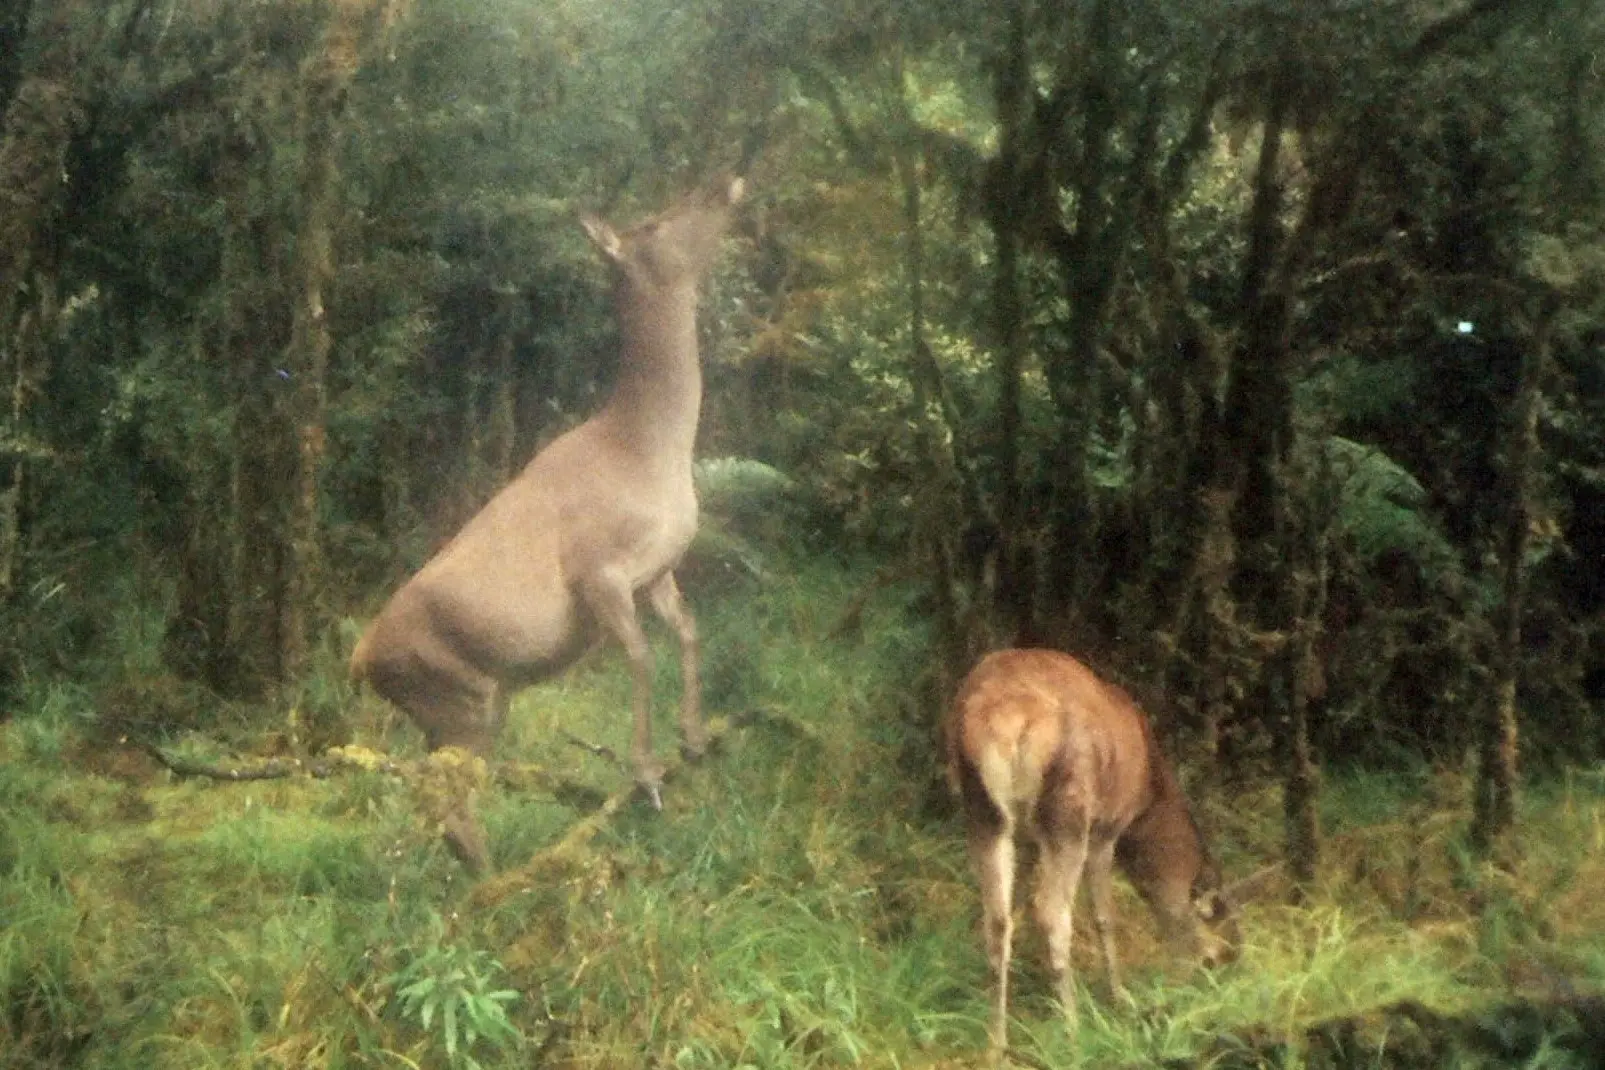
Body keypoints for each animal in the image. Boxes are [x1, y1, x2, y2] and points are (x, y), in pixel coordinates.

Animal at [349, 173, 745, 873]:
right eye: (653, 222)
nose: (725, 180)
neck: (649, 451)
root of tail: (358, 659)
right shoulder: (598, 568)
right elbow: (641, 655)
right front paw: (646, 773)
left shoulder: (658, 568)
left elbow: (688, 633)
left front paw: (694, 738)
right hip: (459, 698)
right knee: (450, 803)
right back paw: (499, 882)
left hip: (461, 707)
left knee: (439, 801)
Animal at [945, 648, 1239, 1053]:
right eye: (1215, 956)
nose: (1217, 990)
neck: (1148, 789)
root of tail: (1011, 718)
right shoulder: (1107, 829)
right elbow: (1105, 917)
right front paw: (1119, 997)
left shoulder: (1028, 840)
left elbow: (1015, 907)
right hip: (1069, 811)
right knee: (1052, 911)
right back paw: (1072, 1027)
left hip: (983, 810)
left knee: (997, 918)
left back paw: (996, 1040)